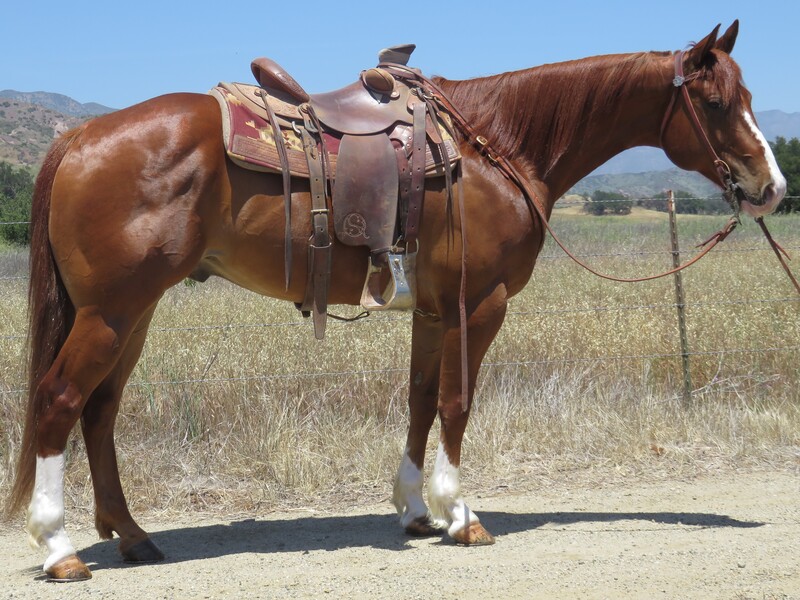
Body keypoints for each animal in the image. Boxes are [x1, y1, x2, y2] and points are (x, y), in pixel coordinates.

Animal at [7, 21, 780, 580]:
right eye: (716, 103)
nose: (770, 187)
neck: (496, 147)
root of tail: (79, 135)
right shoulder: (479, 304)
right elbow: (457, 403)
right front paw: (461, 514)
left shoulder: (435, 311)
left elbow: (419, 400)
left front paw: (414, 509)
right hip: (110, 312)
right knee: (59, 402)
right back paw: (60, 549)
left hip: (130, 313)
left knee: (100, 412)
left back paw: (132, 537)